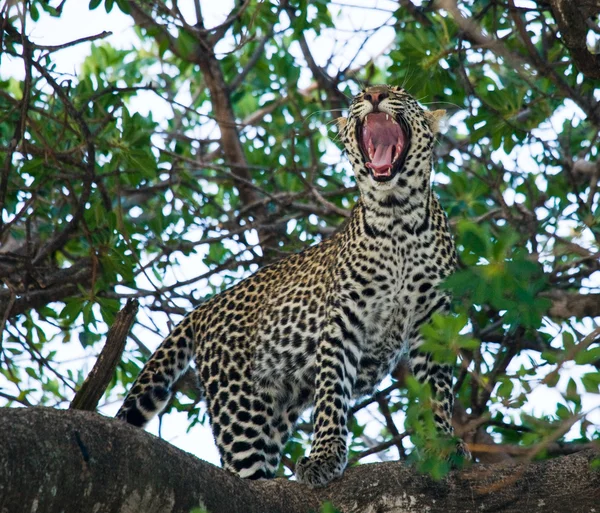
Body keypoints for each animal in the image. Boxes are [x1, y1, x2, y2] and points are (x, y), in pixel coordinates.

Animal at [117, 84, 472, 484]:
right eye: (360, 94)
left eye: (399, 92)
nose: (375, 94)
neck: (396, 214)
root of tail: (203, 309)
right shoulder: (343, 320)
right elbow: (332, 390)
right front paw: (325, 456)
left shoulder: (433, 319)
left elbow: (437, 391)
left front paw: (442, 444)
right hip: (240, 409)